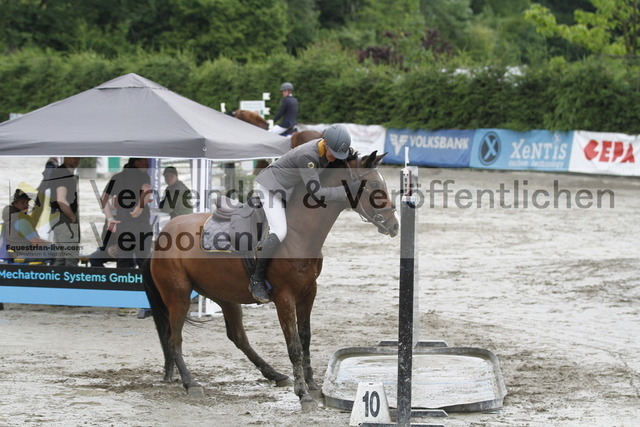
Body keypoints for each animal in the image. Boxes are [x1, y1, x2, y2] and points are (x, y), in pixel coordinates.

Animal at [143, 150, 399, 411]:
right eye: (374, 186)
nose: (394, 225)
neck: (299, 233)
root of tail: (161, 237)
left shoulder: (308, 292)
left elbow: (305, 338)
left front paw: (312, 385)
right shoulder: (284, 297)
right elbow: (294, 345)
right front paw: (303, 394)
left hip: (224, 296)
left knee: (238, 337)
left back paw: (274, 374)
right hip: (179, 297)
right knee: (173, 339)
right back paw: (190, 383)